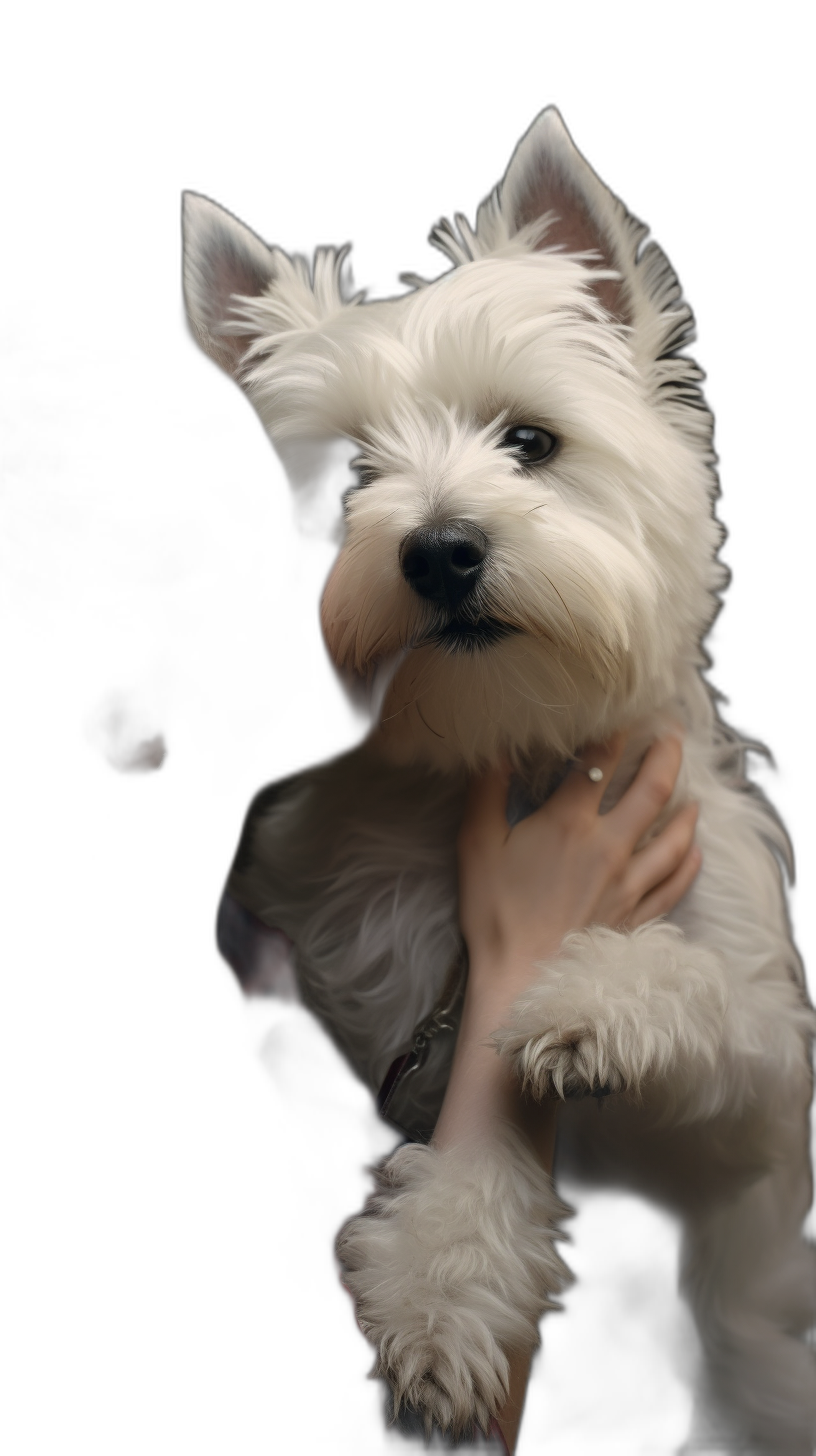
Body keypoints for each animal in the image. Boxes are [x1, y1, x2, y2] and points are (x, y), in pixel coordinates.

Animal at [185, 107, 816, 1450]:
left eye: (529, 441)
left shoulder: (753, 1125)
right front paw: (441, 1289)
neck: (498, 754)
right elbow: (473, 1137)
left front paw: (592, 1005)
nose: (437, 549)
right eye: (343, 479)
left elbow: (708, 1001)